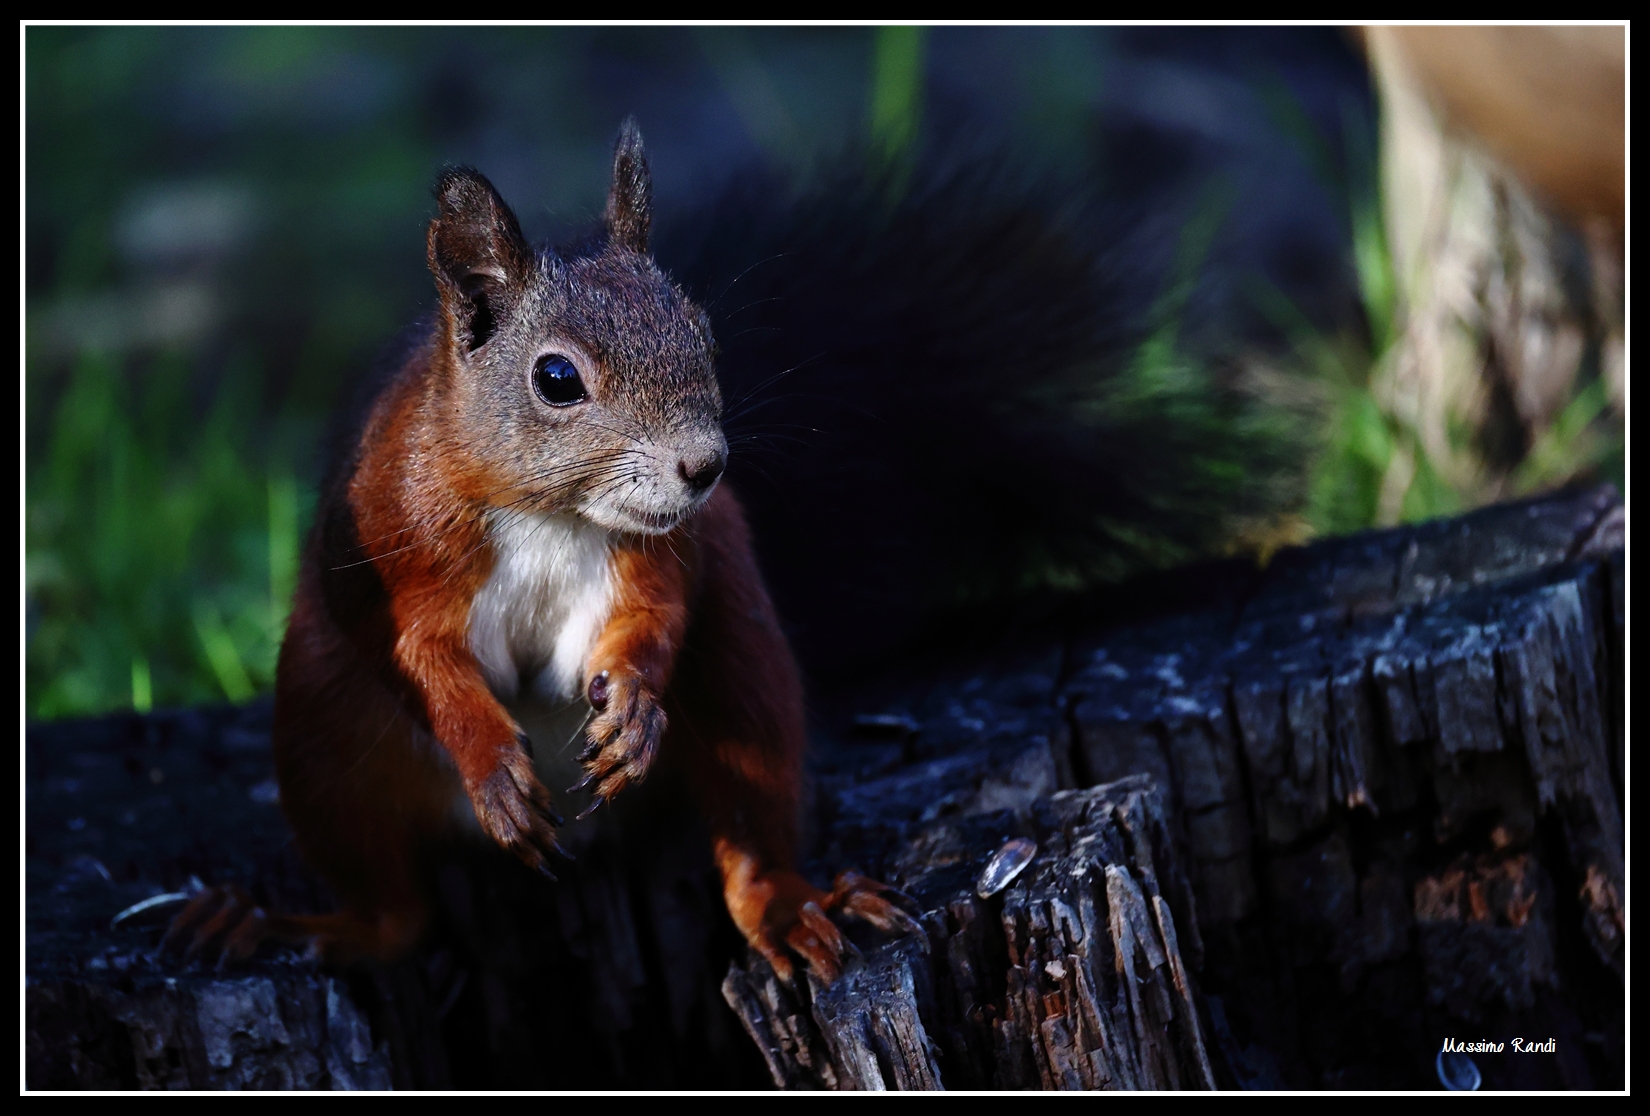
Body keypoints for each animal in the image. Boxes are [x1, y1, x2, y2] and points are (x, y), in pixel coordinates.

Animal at [165, 120, 917, 985]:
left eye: (703, 332)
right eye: (556, 378)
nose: (705, 466)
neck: (553, 517)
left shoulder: (664, 552)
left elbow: (654, 619)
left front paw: (635, 708)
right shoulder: (390, 548)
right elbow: (418, 658)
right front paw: (490, 758)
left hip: (746, 665)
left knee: (750, 824)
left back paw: (793, 906)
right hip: (324, 737)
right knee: (395, 915)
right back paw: (267, 924)